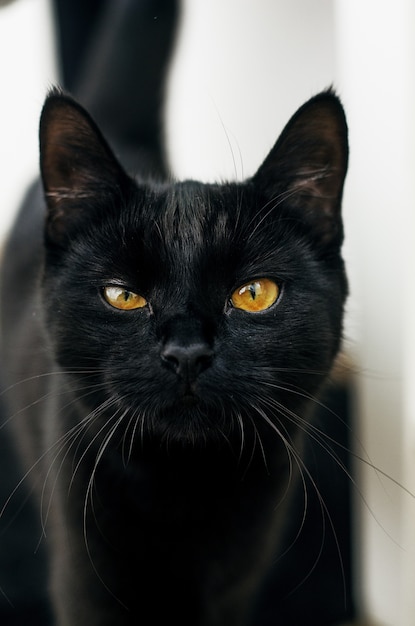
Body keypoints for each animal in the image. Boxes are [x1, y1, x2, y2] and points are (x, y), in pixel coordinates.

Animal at [0, 4, 350, 624]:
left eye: (254, 293)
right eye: (123, 296)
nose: (187, 352)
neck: (185, 490)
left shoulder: (235, 584)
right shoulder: (86, 582)